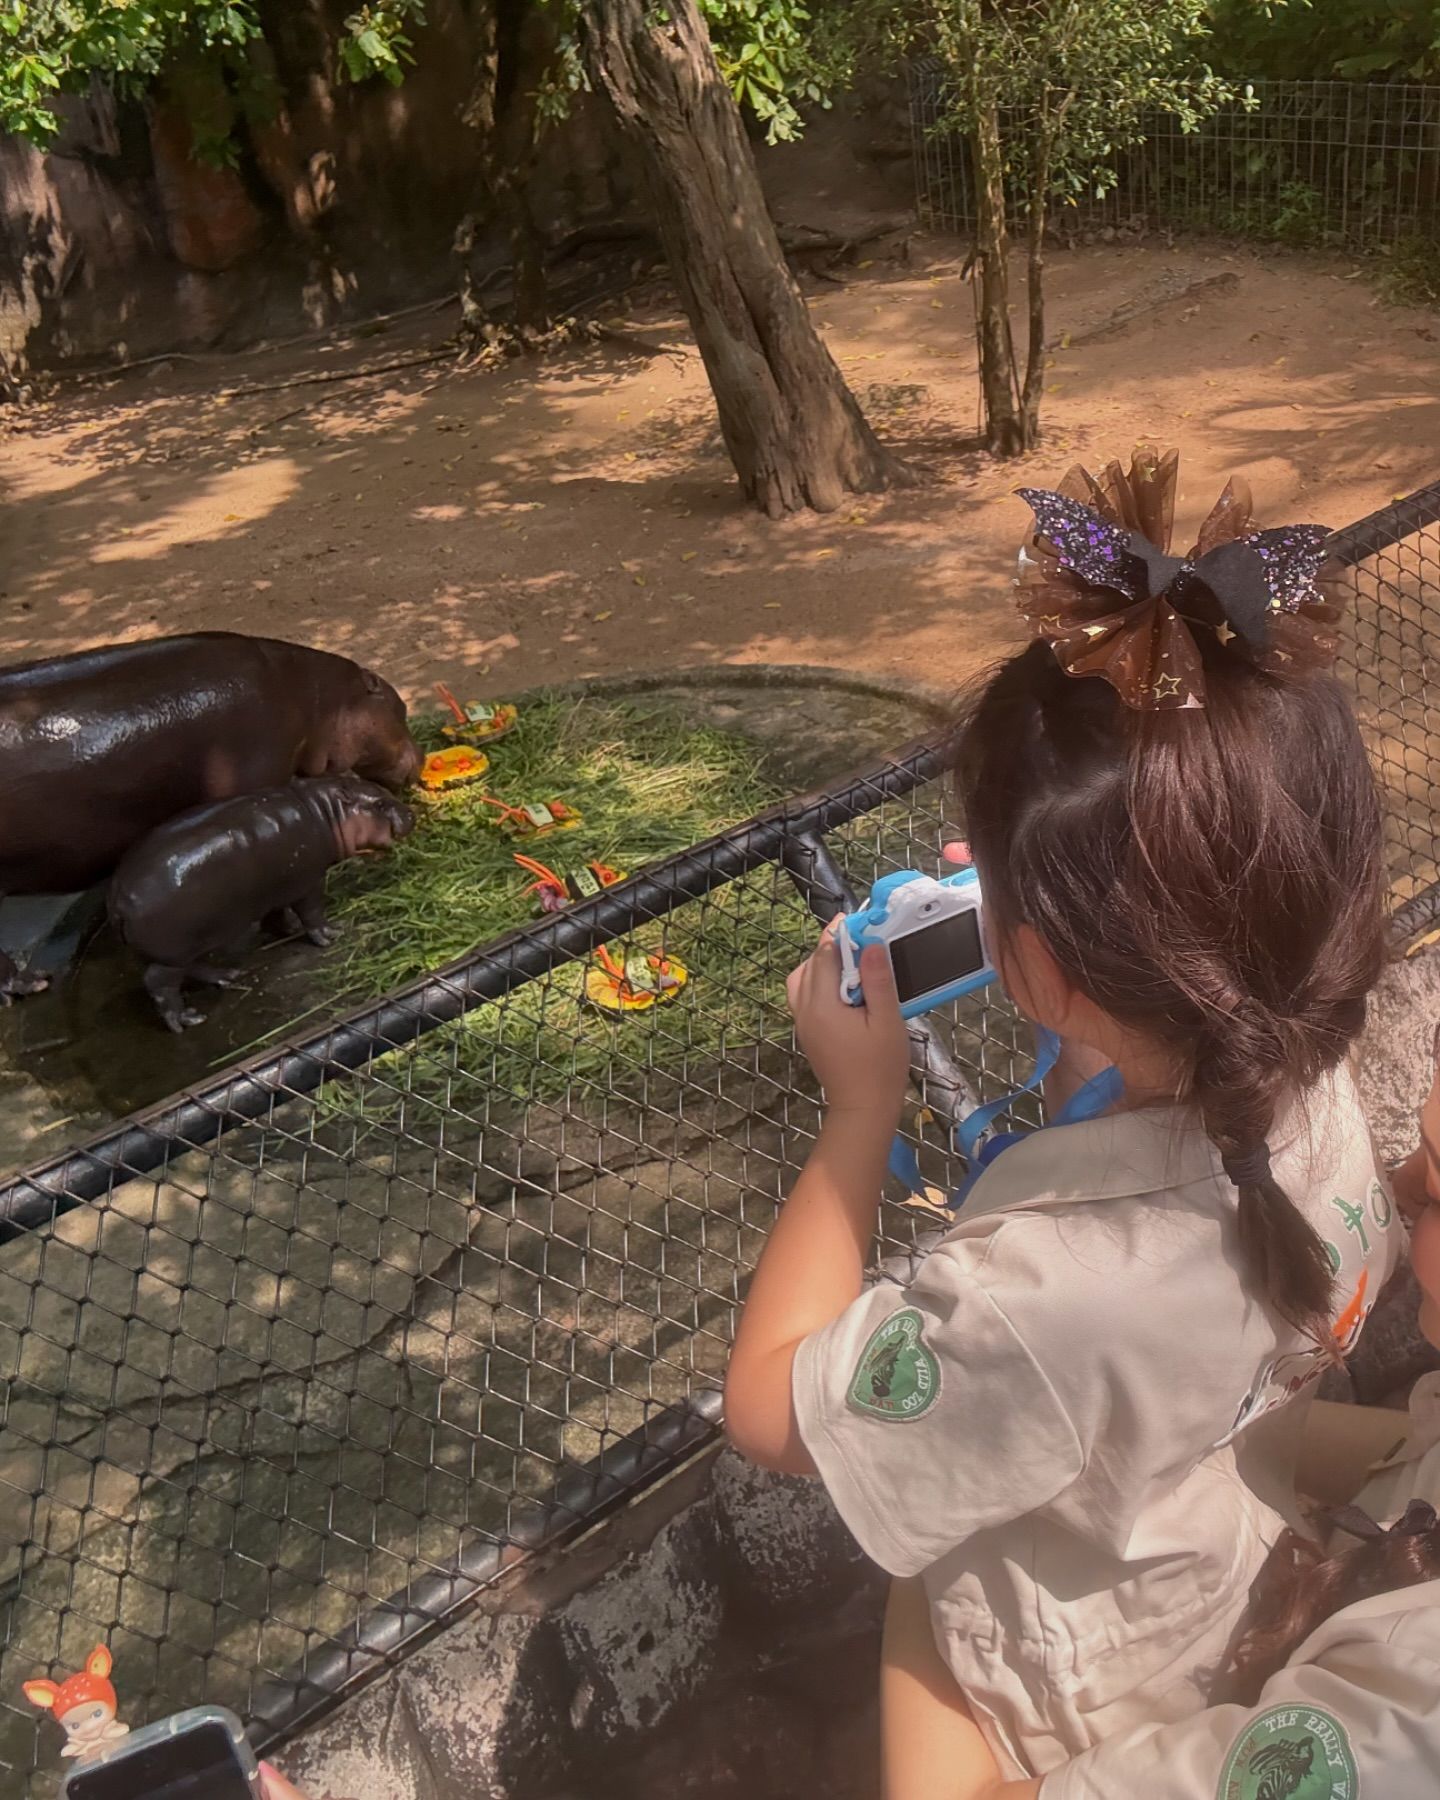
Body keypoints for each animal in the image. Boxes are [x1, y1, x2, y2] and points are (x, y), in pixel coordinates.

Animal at [109, 770, 414, 1029]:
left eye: (378, 787)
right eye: (379, 804)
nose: (410, 813)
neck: (324, 811)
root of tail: (119, 899)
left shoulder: (275, 888)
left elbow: (276, 913)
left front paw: (289, 928)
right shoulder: (308, 882)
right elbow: (312, 912)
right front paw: (331, 934)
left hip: (192, 945)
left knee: (194, 967)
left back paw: (226, 976)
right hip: (173, 955)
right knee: (160, 984)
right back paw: (187, 1020)